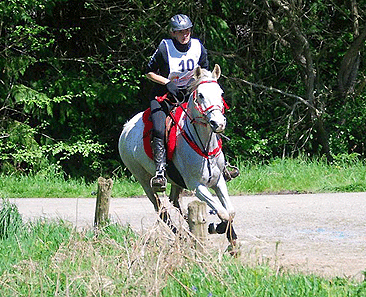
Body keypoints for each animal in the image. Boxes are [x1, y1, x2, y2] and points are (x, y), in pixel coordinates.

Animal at [118, 63, 237, 242]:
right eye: (201, 95)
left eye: (221, 93)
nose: (218, 123)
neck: (204, 146)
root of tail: (126, 128)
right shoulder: (197, 186)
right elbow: (222, 211)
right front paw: (216, 227)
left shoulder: (218, 181)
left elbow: (229, 212)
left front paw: (227, 232)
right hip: (144, 180)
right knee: (160, 210)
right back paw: (180, 234)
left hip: (175, 181)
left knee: (174, 201)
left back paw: (188, 225)